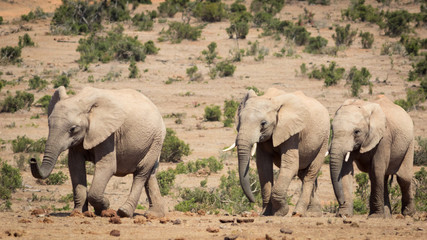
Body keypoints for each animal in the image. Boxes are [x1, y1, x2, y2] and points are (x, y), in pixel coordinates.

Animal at [30, 86, 166, 218]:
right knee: (150, 174)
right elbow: (75, 166)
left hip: (156, 139)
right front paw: (78, 213)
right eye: (49, 124)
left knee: (141, 171)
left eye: (72, 129)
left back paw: (124, 212)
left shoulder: (109, 134)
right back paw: (154, 215)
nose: (32, 159)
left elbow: (107, 167)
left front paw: (105, 206)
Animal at [224, 87, 332, 216]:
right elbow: (263, 167)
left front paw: (280, 212)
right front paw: (266, 214)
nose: (252, 201)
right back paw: (313, 213)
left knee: (310, 174)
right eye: (239, 120)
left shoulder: (293, 132)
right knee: (303, 173)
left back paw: (299, 213)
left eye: (263, 123)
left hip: (324, 139)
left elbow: (290, 166)